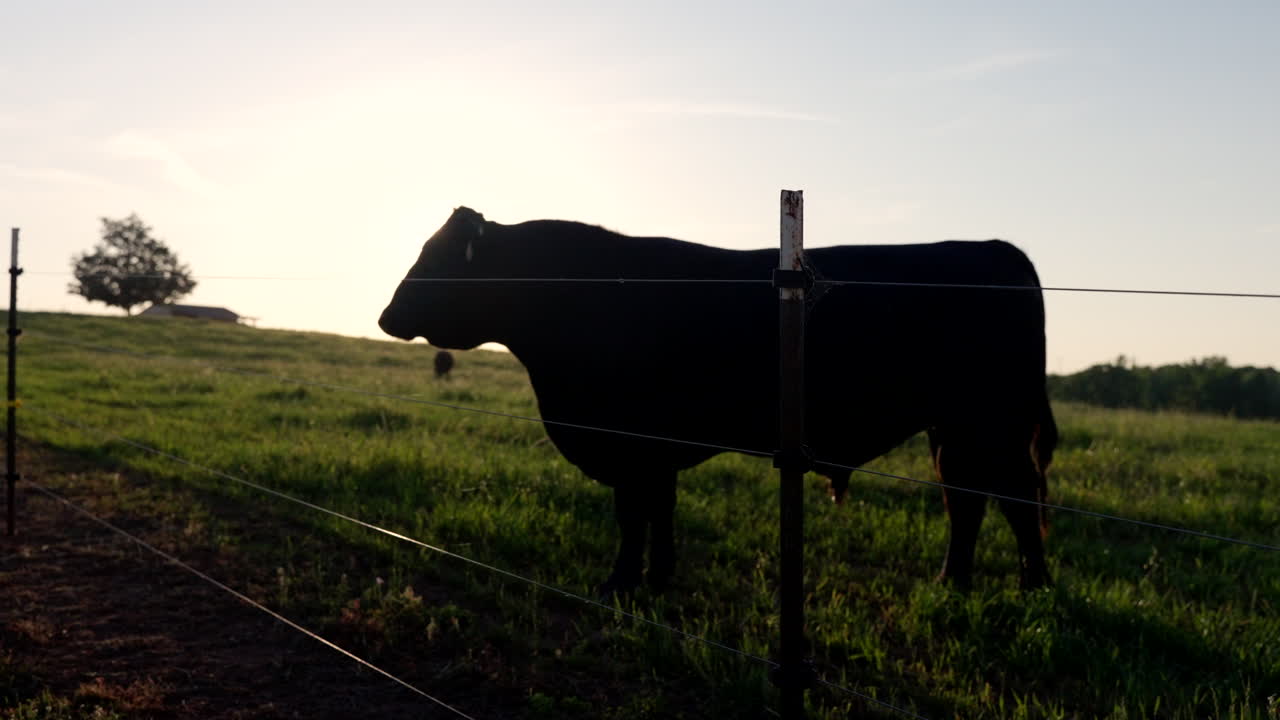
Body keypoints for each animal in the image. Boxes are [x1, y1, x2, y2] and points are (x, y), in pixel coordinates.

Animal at [379, 207, 1057, 593]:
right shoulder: (653, 453)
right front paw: (657, 580)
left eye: (437, 260)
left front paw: (620, 584)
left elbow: (634, 515)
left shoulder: (632, 445)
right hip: (956, 427)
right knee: (965, 496)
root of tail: (996, 248)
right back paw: (954, 582)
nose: (387, 317)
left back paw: (1033, 586)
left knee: (1015, 498)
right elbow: (660, 513)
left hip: (992, 423)